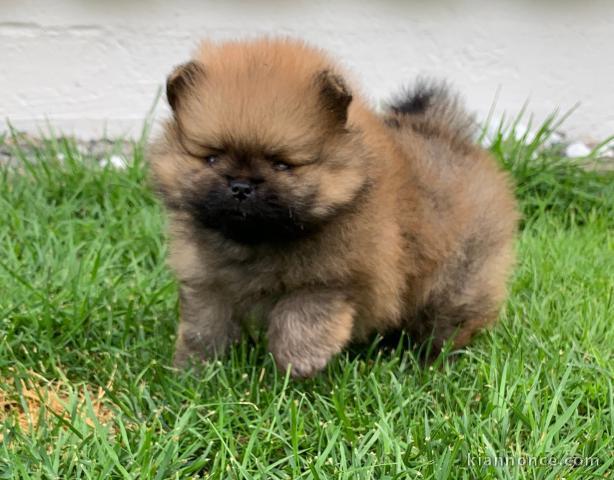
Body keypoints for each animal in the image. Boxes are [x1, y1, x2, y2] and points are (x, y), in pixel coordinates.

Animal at [149, 37, 520, 376]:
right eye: (211, 158)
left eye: (282, 164)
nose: (240, 186)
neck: (258, 243)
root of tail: (448, 134)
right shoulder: (208, 284)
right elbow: (204, 328)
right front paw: (194, 372)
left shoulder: (338, 277)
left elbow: (301, 313)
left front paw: (299, 361)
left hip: (459, 275)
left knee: (450, 322)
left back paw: (433, 364)